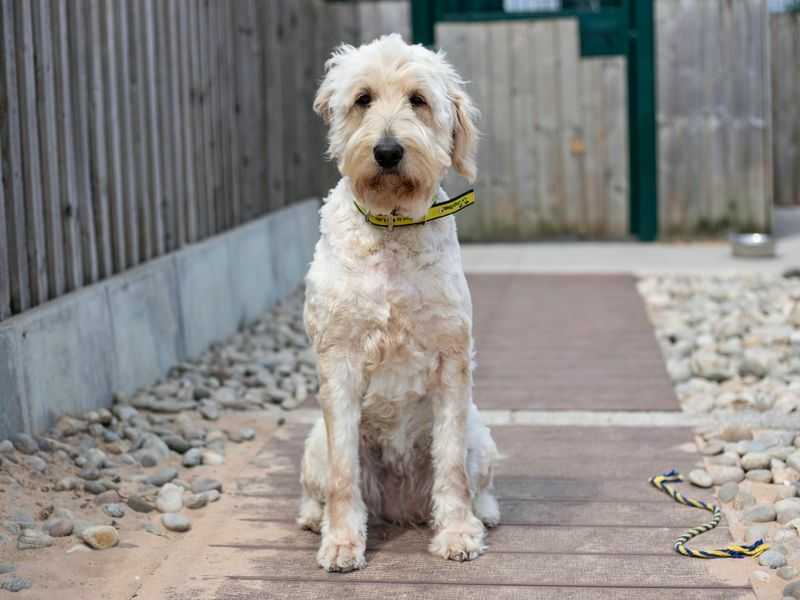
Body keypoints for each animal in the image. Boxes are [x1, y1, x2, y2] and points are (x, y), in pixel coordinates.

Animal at [300, 32, 500, 572]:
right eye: (363, 99)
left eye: (418, 100)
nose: (388, 151)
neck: (391, 227)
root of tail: (400, 506)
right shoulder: (340, 360)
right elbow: (344, 475)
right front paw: (341, 542)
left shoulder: (451, 361)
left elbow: (450, 464)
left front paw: (457, 533)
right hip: (314, 443)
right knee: (321, 487)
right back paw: (314, 518)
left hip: (481, 432)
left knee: (476, 481)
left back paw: (482, 514)